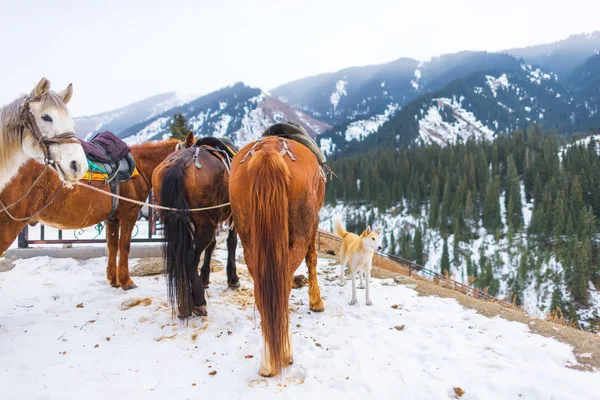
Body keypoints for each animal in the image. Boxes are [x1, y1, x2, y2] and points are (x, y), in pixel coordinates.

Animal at [0, 134, 193, 288]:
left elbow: (112, 246)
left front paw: (113, 279)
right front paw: (126, 281)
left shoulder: (113, 219)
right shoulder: (129, 215)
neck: (139, 166)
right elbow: (125, 245)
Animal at [150, 141, 239, 318]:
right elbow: (231, 241)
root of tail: (180, 163)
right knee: (190, 256)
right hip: (206, 224)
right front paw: (233, 277)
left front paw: (204, 277)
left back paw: (184, 302)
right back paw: (198, 301)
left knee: (180, 254)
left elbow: (212, 245)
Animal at [229, 136, 324, 376]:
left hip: (250, 239)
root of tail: (268, 150)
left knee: (262, 289)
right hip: (299, 232)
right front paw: (316, 302)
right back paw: (283, 353)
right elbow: (312, 257)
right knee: (283, 283)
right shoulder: (314, 223)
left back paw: (267, 360)